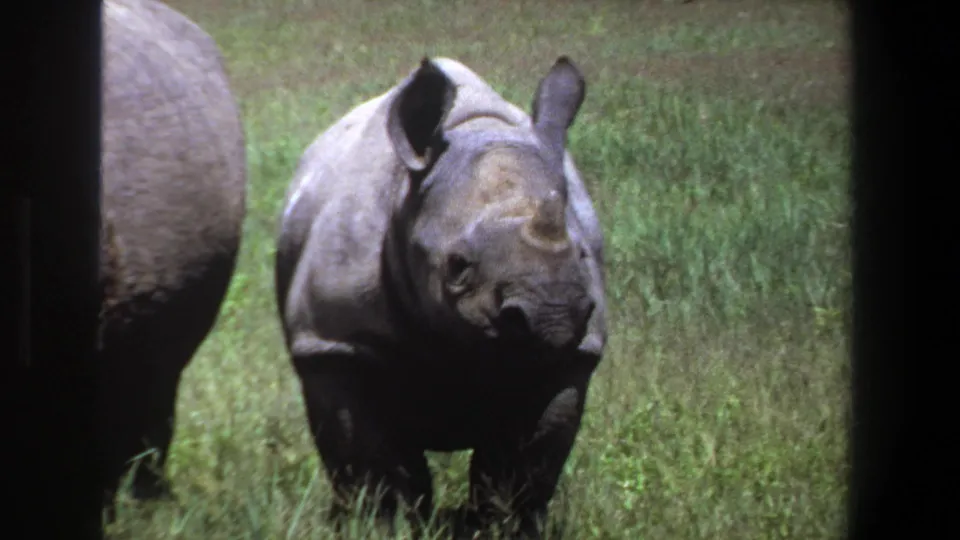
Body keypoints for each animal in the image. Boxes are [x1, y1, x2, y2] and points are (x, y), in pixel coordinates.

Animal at [275, 56, 606, 538]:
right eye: (457, 265)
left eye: (581, 254)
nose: (554, 315)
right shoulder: (335, 343)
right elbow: (375, 467)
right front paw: (385, 528)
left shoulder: (570, 356)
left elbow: (520, 469)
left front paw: (503, 529)